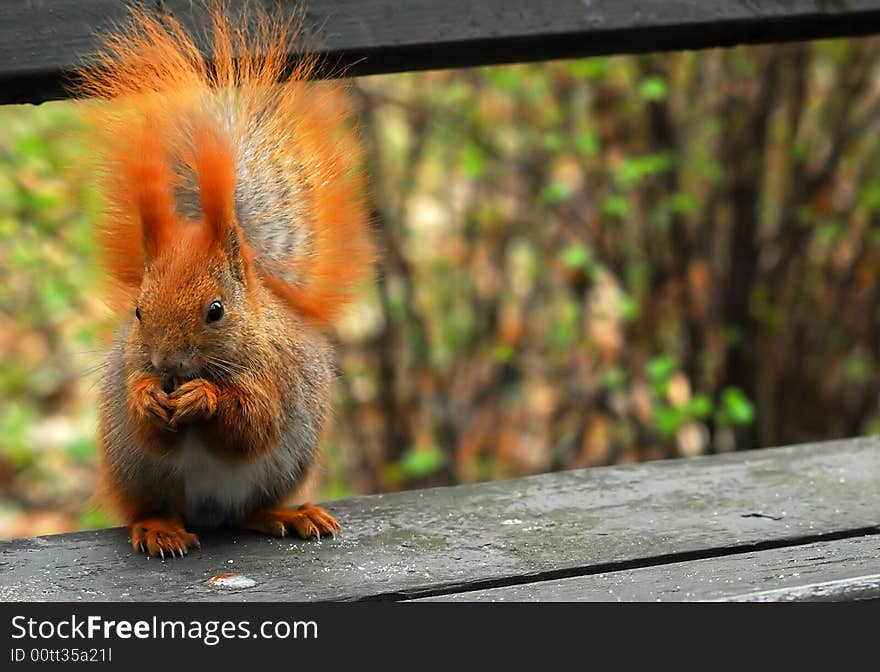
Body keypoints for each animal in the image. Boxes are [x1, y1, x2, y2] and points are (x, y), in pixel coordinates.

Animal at [77, 5, 372, 560]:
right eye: (138, 311)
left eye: (216, 310)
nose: (168, 365)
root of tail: (206, 517)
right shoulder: (133, 367)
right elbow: (149, 422)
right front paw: (148, 397)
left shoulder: (276, 376)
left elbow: (251, 424)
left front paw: (202, 399)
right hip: (135, 473)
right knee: (149, 507)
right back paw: (159, 529)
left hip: (284, 467)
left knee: (250, 510)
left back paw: (288, 515)